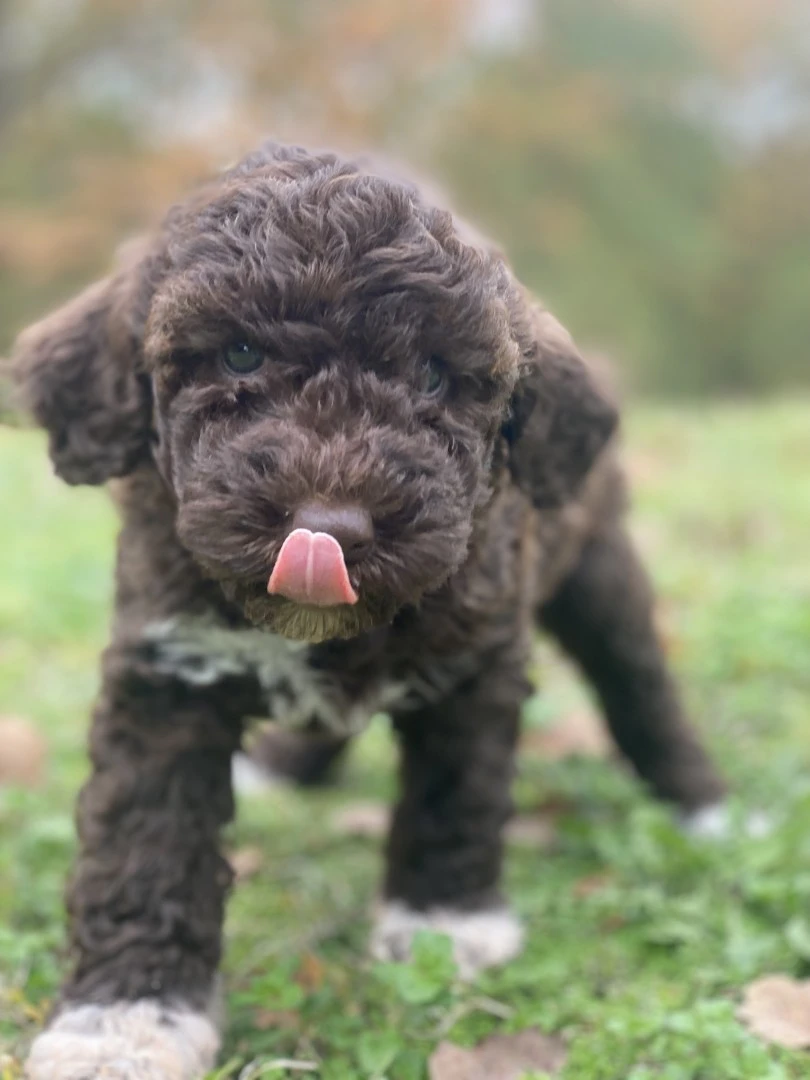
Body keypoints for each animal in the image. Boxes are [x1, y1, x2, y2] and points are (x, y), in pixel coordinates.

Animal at [12, 143, 725, 1080]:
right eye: (239, 355)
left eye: (434, 376)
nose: (331, 527)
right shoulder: (168, 672)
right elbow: (144, 844)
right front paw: (124, 1019)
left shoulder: (475, 661)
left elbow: (455, 796)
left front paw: (443, 923)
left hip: (601, 569)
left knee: (639, 684)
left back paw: (703, 805)